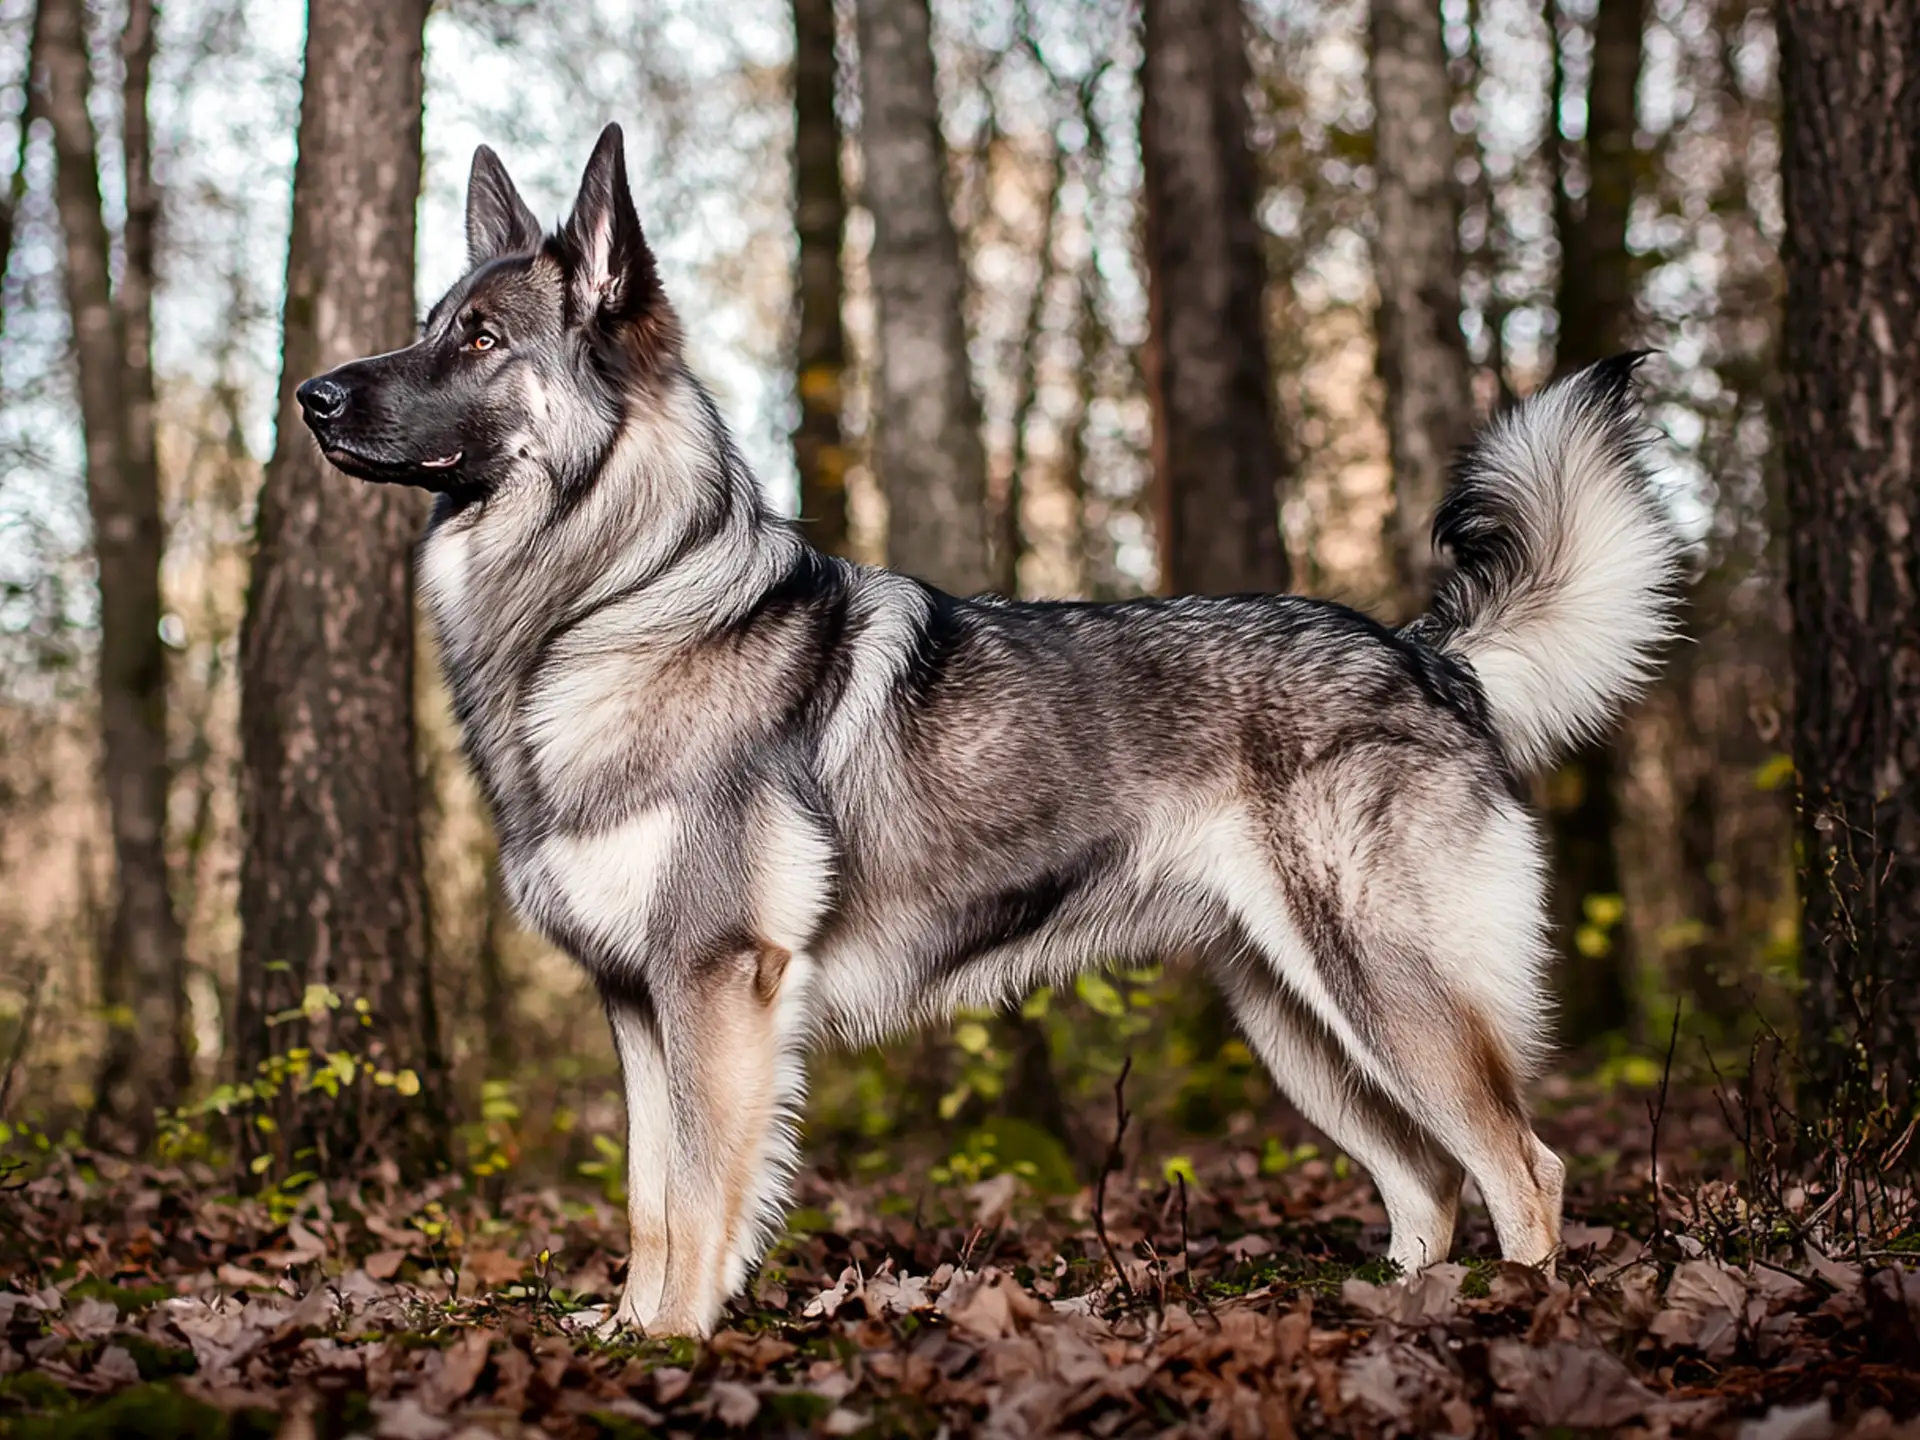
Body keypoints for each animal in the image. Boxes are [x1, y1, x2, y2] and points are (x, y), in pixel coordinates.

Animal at [295, 126, 1681, 1344]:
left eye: (479, 339)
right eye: (430, 321)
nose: (308, 395)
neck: (609, 601)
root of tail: (1427, 654)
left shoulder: (715, 985)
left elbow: (697, 1197)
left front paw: (673, 1342)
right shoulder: (638, 1005)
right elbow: (647, 1200)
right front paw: (628, 1328)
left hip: (1384, 990)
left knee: (1525, 1169)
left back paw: (1517, 1317)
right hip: (1299, 1021)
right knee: (1427, 1182)